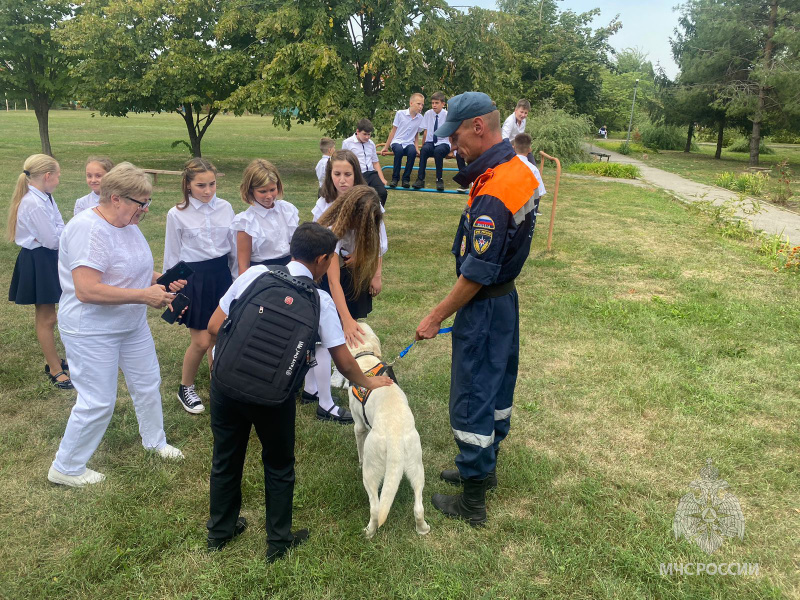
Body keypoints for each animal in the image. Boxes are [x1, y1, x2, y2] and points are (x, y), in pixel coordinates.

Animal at [346, 324, 428, 540]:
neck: (365, 357)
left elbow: (358, 445)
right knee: (419, 507)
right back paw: (423, 528)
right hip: (417, 466)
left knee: (375, 508)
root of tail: (395, 441)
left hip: (370, 471)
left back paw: (369, 532)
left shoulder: (359, 426)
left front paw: (358, 461)